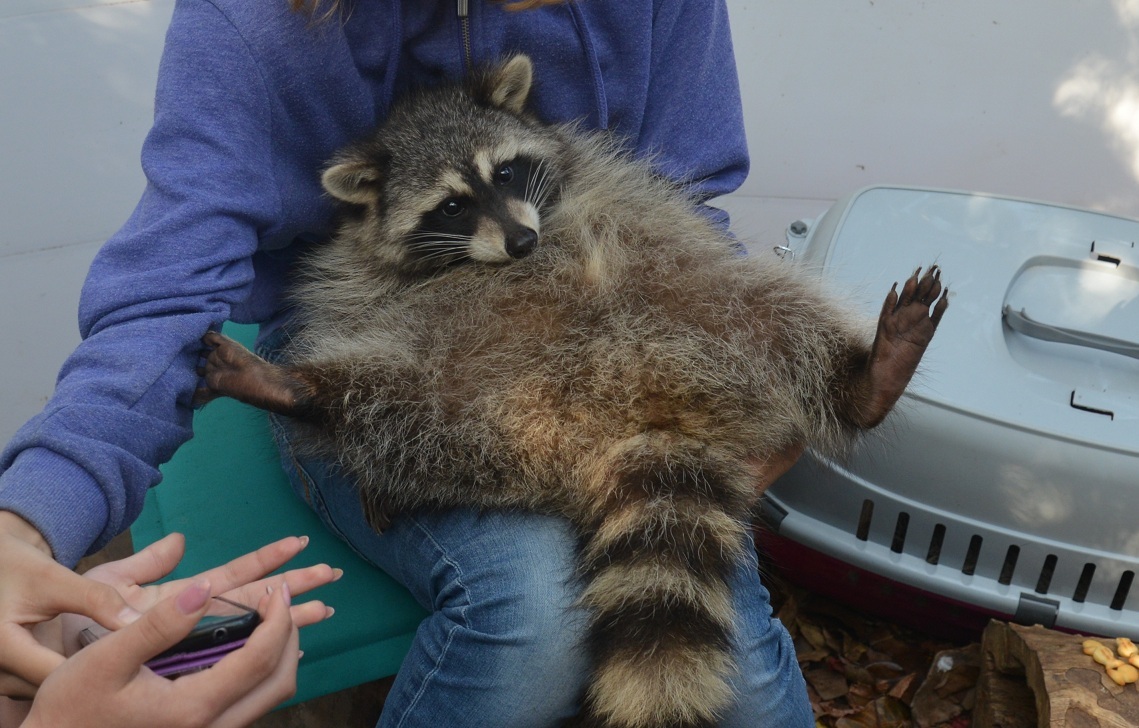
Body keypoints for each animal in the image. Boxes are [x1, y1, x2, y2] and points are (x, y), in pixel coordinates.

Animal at [193, 54, 943, 724]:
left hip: (701, 301)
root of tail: (644, 413)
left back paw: (863, 378)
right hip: (471, 403)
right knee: (395, 408)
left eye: (505, 171)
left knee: (777, 308)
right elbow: (351, 305)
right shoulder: (358, 279)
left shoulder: (599, 183)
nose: (524, 243)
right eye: (451, 205)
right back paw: (305, 393)